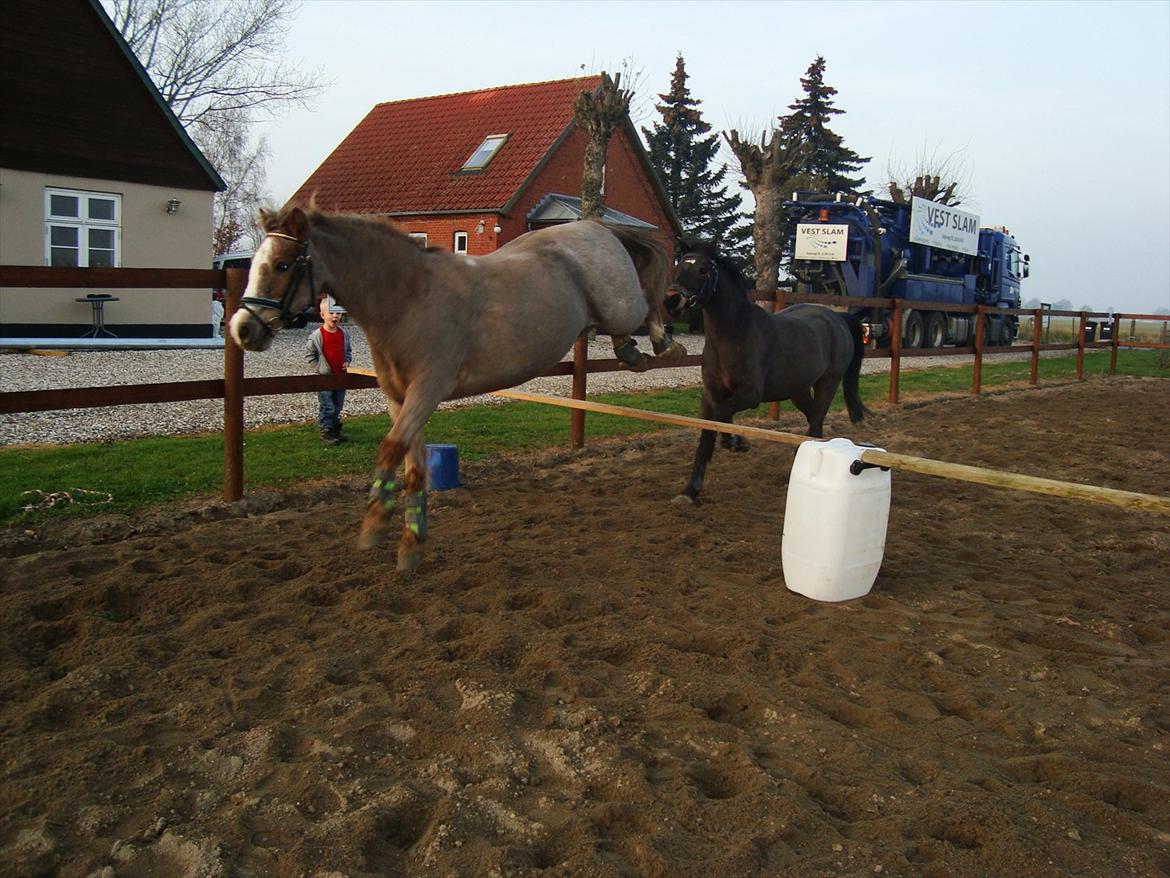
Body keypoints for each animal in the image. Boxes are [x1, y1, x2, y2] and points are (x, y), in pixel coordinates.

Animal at [229, 208, 683, 578]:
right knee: (626, 330)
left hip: (618, 304)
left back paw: (667, 345)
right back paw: (632, 353)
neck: (409, 298)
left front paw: (374, 525)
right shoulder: (400, 398)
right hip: (604, 314)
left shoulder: (428, 389)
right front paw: (411, 545)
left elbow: (389, 449)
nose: (242, 330)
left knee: (648, 302)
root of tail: (596, 227)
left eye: (283, 264)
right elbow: (412, 465)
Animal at [664, 241, 875, 505]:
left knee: (816, 422)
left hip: (828, 383)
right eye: (677, 267)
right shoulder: (710, 395)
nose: (672, 301)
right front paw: (689, 492)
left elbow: (722, 415)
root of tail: (836, 317)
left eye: (704, 271)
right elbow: (708, 433)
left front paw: (737, 442)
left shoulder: (750, 394)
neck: (735, 336)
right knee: (812, 422)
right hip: (798, 391)